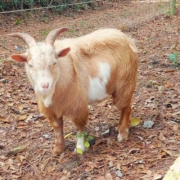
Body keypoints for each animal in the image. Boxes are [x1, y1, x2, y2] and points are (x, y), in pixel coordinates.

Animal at [8, 27, 138, 155]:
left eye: (54, 62)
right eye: (30, 65)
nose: (44, 85)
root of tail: (128, 40)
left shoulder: (78, 106)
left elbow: (79, 128)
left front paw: (79, 149)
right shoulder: (52, 110)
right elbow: (57, 128)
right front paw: (58, 149)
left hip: (124, 85)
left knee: (126, 108)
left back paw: (122, 135)